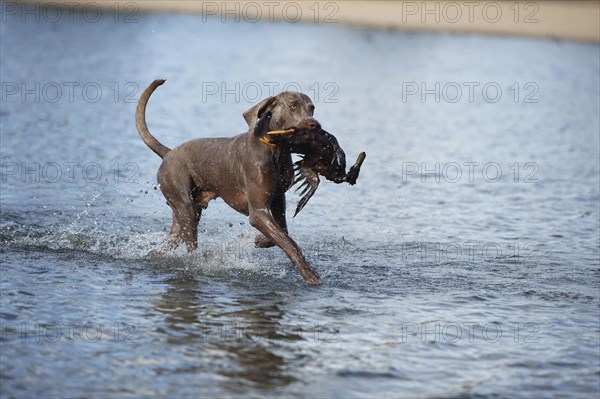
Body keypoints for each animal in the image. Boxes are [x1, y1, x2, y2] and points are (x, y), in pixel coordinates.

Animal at [135, 79, 352, 284]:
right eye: (292, 105)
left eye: (311, 107)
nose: (314, 124)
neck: (275, 151)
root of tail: (168, 153)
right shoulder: (258, 211)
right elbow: (289, 242)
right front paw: (310, 275)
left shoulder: (277, 199)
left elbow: (281, 233)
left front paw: (260, 240)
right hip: (185, 204)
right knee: (190, 243)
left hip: (187, 210)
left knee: (174, 237)